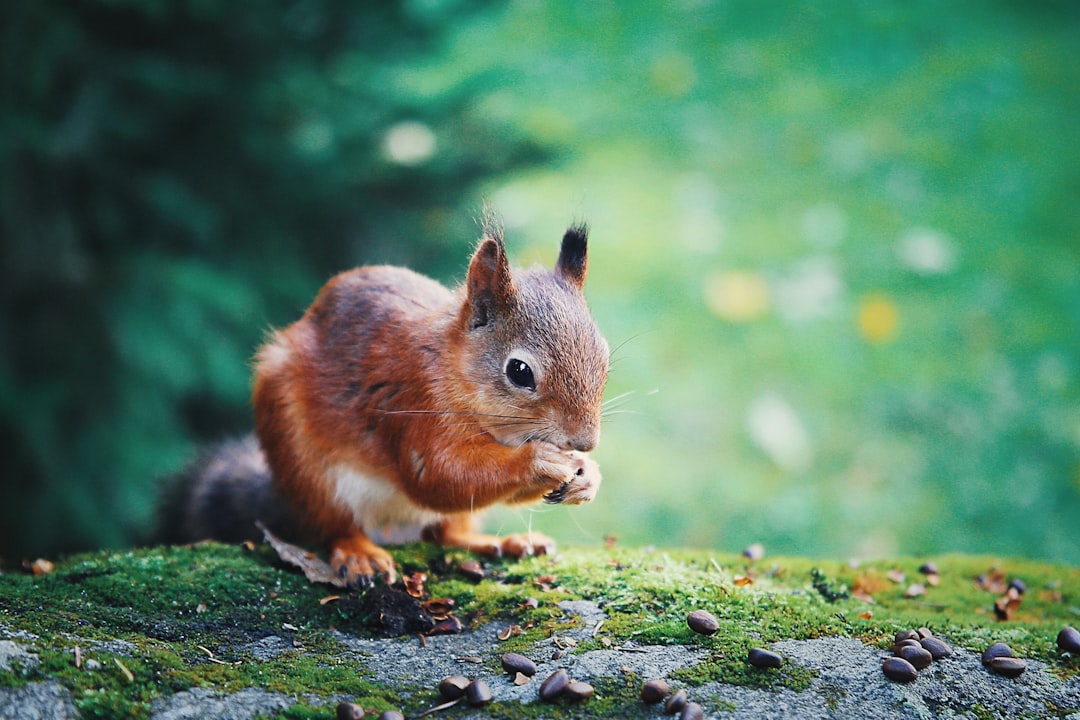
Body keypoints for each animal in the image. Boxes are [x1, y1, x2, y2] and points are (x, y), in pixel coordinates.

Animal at [163, 218, 613, 587]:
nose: (585, 441)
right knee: (337, 526)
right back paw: (360, 554)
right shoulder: (415, 405)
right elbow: (440, 477)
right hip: (308, 470)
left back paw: (502, 542)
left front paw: (588, 475)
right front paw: (539, 460)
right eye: (519, 371)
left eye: (605, 355)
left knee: (446, 532)